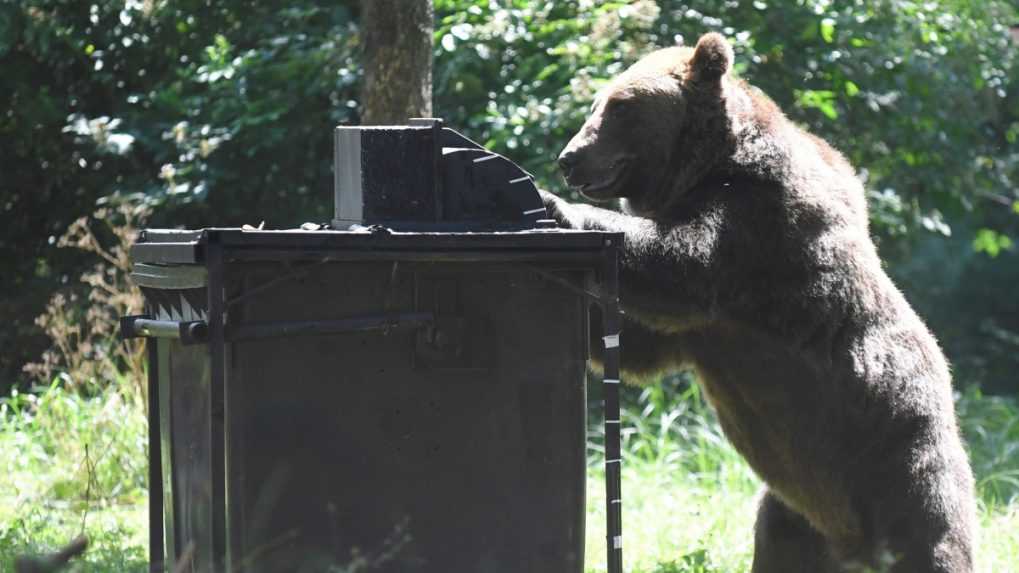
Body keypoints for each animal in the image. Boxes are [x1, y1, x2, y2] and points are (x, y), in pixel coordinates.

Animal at [546, 32, 974, 570]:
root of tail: (856, 546)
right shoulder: (703, 332)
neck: (703, 170)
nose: (569, 158)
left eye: (621, 107)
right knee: (780, 542)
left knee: (933, 539)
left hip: (901, 460)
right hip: (796, 514)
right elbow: (639, 342)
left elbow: (680, 265)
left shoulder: (757, 227)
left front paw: (558, 209)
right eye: (598, 104)